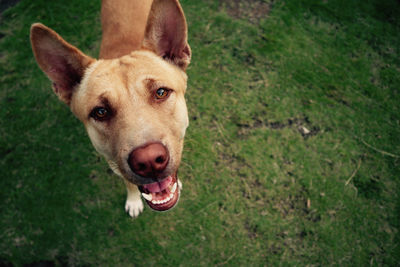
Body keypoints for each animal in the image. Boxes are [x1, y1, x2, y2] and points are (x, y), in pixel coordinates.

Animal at [29, 0, 191, 218]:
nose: (149, 162)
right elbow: (129, 183)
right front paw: (133, 200)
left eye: (161, 92)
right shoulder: (115, 164)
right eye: (100, 112)